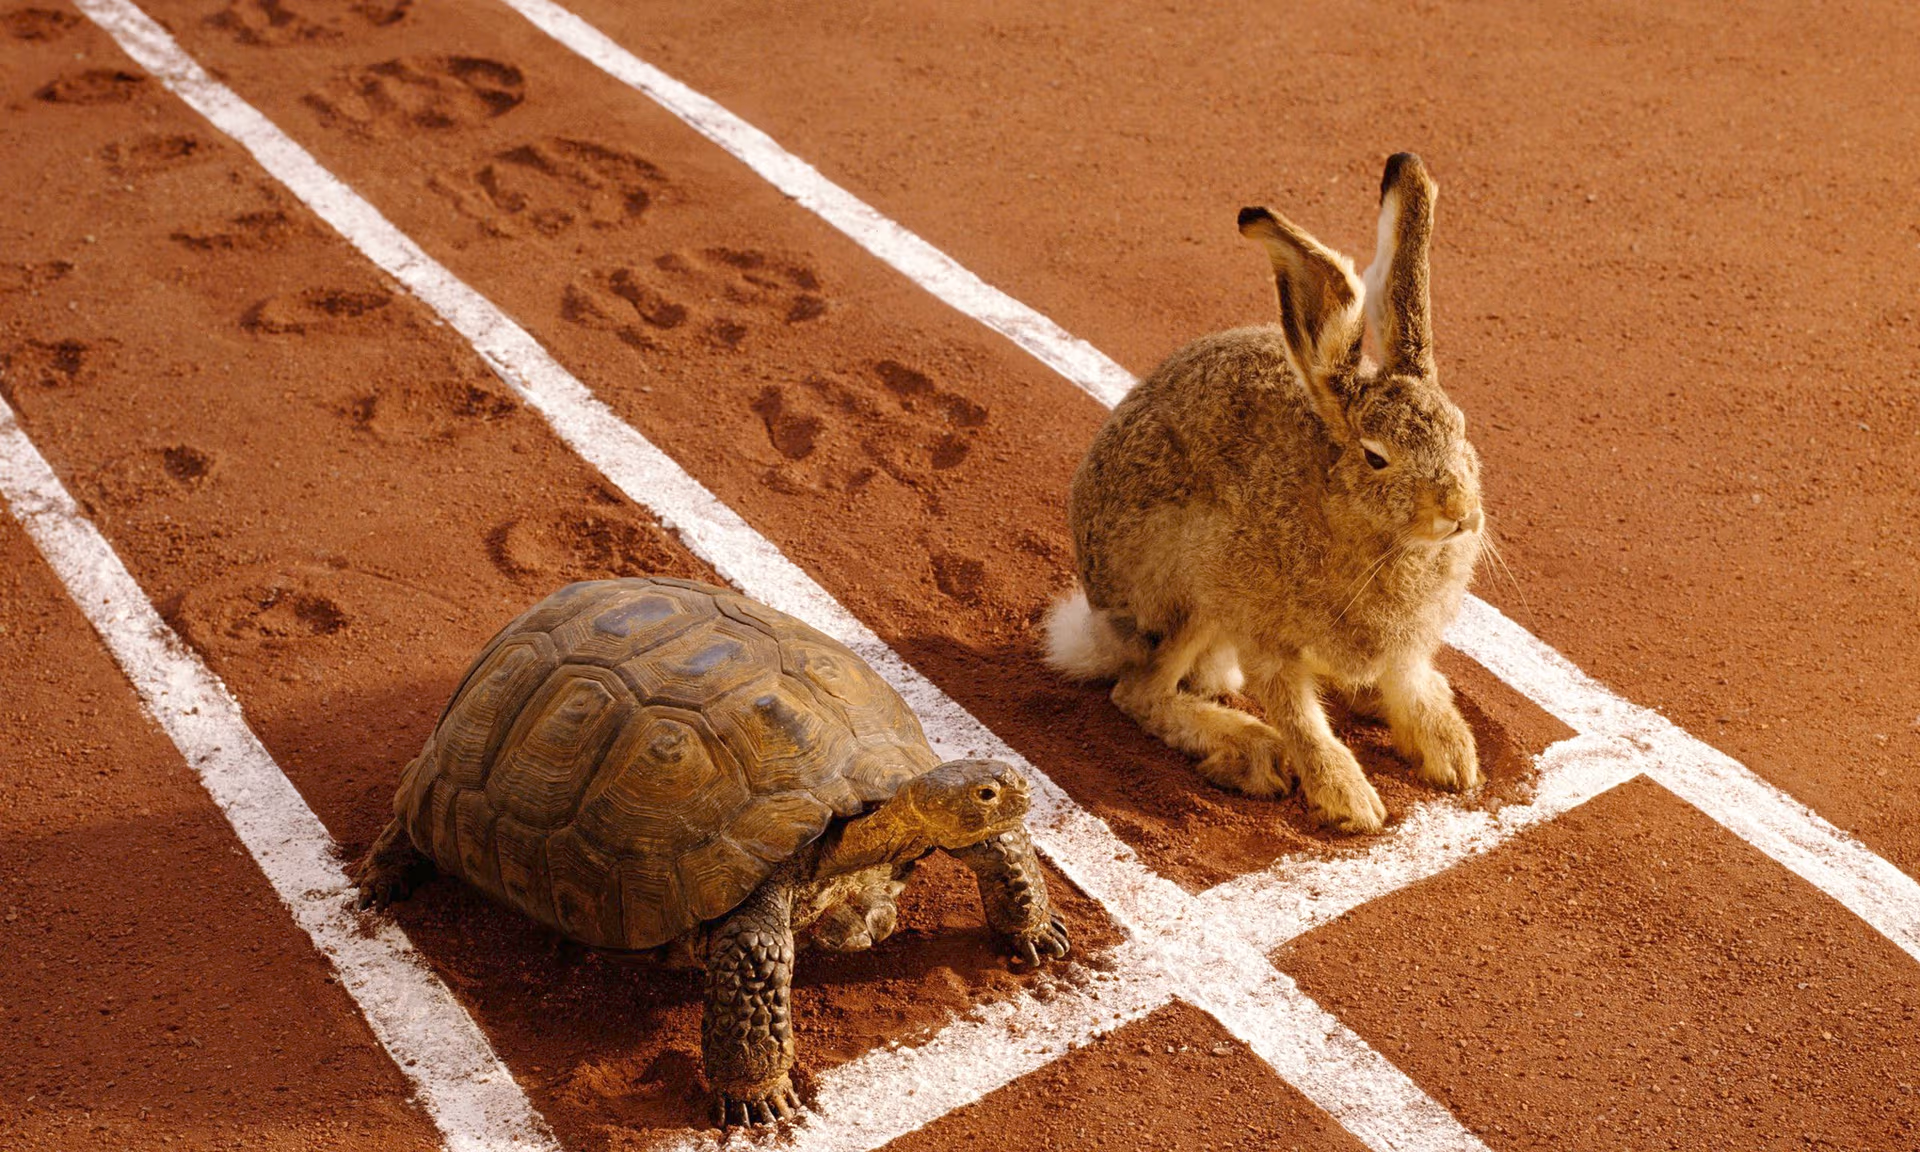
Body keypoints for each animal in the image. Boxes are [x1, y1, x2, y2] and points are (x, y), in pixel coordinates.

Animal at [1045, 153, 1483, 834]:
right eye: (1376, 456)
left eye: (1460, 429)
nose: (1460, 514)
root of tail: (1099, 623)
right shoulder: (1263, 631)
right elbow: (1301, 719)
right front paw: (1350, 801)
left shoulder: (1407, 647)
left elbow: (1409, 684)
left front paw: (1454, 757)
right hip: (1188, 589)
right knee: (1141, 692)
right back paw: (1249, 749)